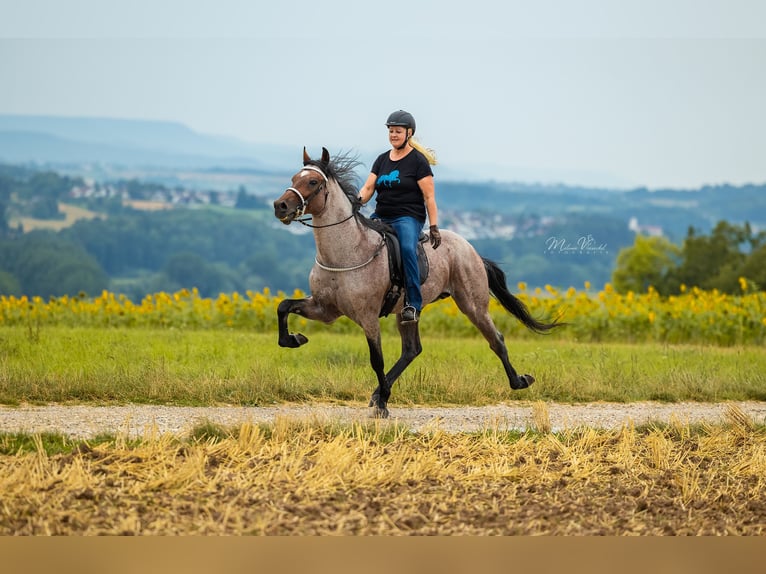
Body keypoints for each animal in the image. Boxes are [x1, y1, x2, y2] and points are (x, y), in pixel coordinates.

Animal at [273, 147, 562, 418]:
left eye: (312, 182)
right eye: (294, 177)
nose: (280, 206)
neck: (345, 253)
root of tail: (470, 249)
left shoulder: (367, 317)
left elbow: (376, 359)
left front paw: (383, 406)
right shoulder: (324, 309)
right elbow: (284, 306)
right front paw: (294, 339)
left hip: (472, 305)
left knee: (496, 340)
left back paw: (519, 381)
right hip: (406, 311)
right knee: (412, 350)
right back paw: (378, 393)